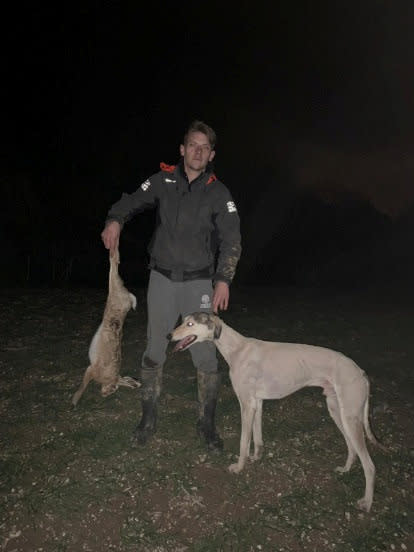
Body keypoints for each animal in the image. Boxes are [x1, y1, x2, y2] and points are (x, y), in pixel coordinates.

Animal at [72, 246, 141, 406]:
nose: (137, 382)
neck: (113, 379)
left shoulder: (90, 369)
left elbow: (84, 385)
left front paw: (74, 399)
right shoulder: (93, 371)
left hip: (115, 290)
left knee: (114, 268)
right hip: (116, 291)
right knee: (117, 270)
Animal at [169, 312, 384, 512]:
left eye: (190, 324)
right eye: (184, 321)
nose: (168, 335)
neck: (237, 349)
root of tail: (361, 372)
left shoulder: (247, 404)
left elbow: (243, 442)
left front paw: (239, 467)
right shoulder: (257, 403)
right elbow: (257, 438)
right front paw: (256, 457)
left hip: (350, 418)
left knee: (370, 465)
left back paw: (367, 503)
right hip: (338, 412)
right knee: (352, 448)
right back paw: (345, 469)